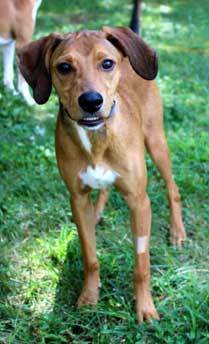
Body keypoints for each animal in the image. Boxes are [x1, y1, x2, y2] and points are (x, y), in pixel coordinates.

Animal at [16, 24, 186, 322]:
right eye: (64, 67)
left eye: (106, 63)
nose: (91, 101)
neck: (96, 139)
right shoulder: (77, 198)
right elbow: (90, 257)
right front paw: (89, 296)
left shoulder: (139, 202)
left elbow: (142, 263)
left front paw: (145, 308)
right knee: (104, 190)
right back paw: (96, 215)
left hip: (156, 142)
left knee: (172, 188)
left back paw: (177, 231)